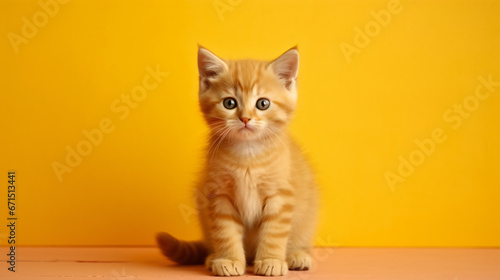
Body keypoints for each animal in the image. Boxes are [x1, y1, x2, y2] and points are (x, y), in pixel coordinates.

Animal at [158, 47, 318, 276]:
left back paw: (297, 255)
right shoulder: (218, 195)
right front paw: (229, 260)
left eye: (263, 103)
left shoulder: (280, 195)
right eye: (229, 103)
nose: (245, 118)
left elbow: (274, 232)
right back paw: (213, 257)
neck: (247, 155)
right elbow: (226, 231)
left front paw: (271, 261)